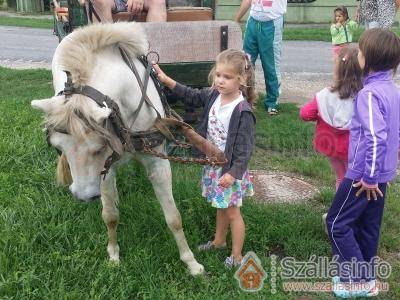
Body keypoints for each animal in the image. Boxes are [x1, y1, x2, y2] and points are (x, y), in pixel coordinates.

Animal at [30, 22, 205, 276]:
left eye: (99, 147)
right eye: (57, 147)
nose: (84, 196)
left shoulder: (157, 162)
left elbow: (173, 217)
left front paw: (191, 262)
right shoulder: (105, 169)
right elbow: (110, 215)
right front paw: (113, 254)